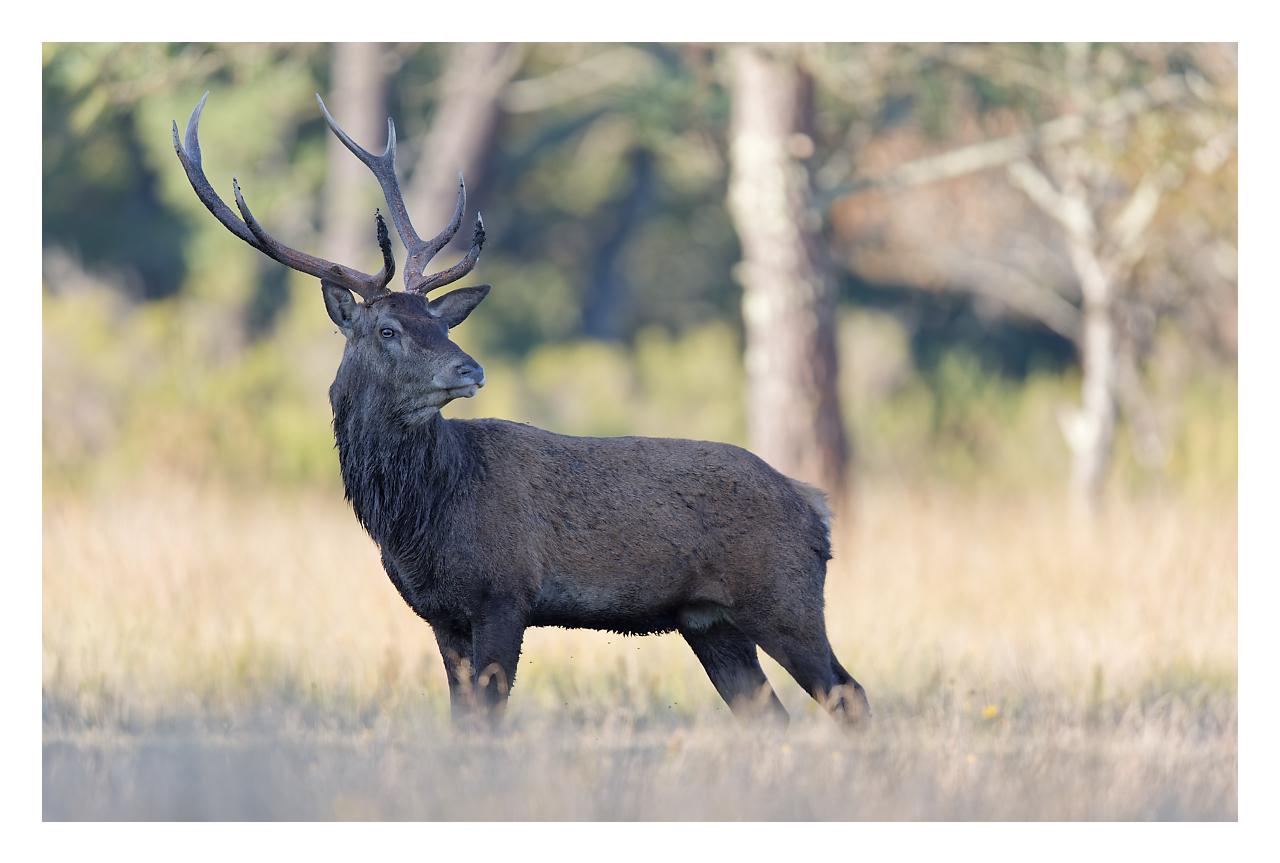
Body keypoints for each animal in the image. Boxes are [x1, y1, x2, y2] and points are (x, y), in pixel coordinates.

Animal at [173, 92, 870, 731]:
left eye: (441, 323)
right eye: (390, 329)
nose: (469, 369)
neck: (422, 521)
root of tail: (815, 506)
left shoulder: (505, 594)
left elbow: (489, 718)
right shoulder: (440, 615)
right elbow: (462, 720)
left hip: (783, 598)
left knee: (849, 693)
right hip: (712, 622)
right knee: (768, 713)